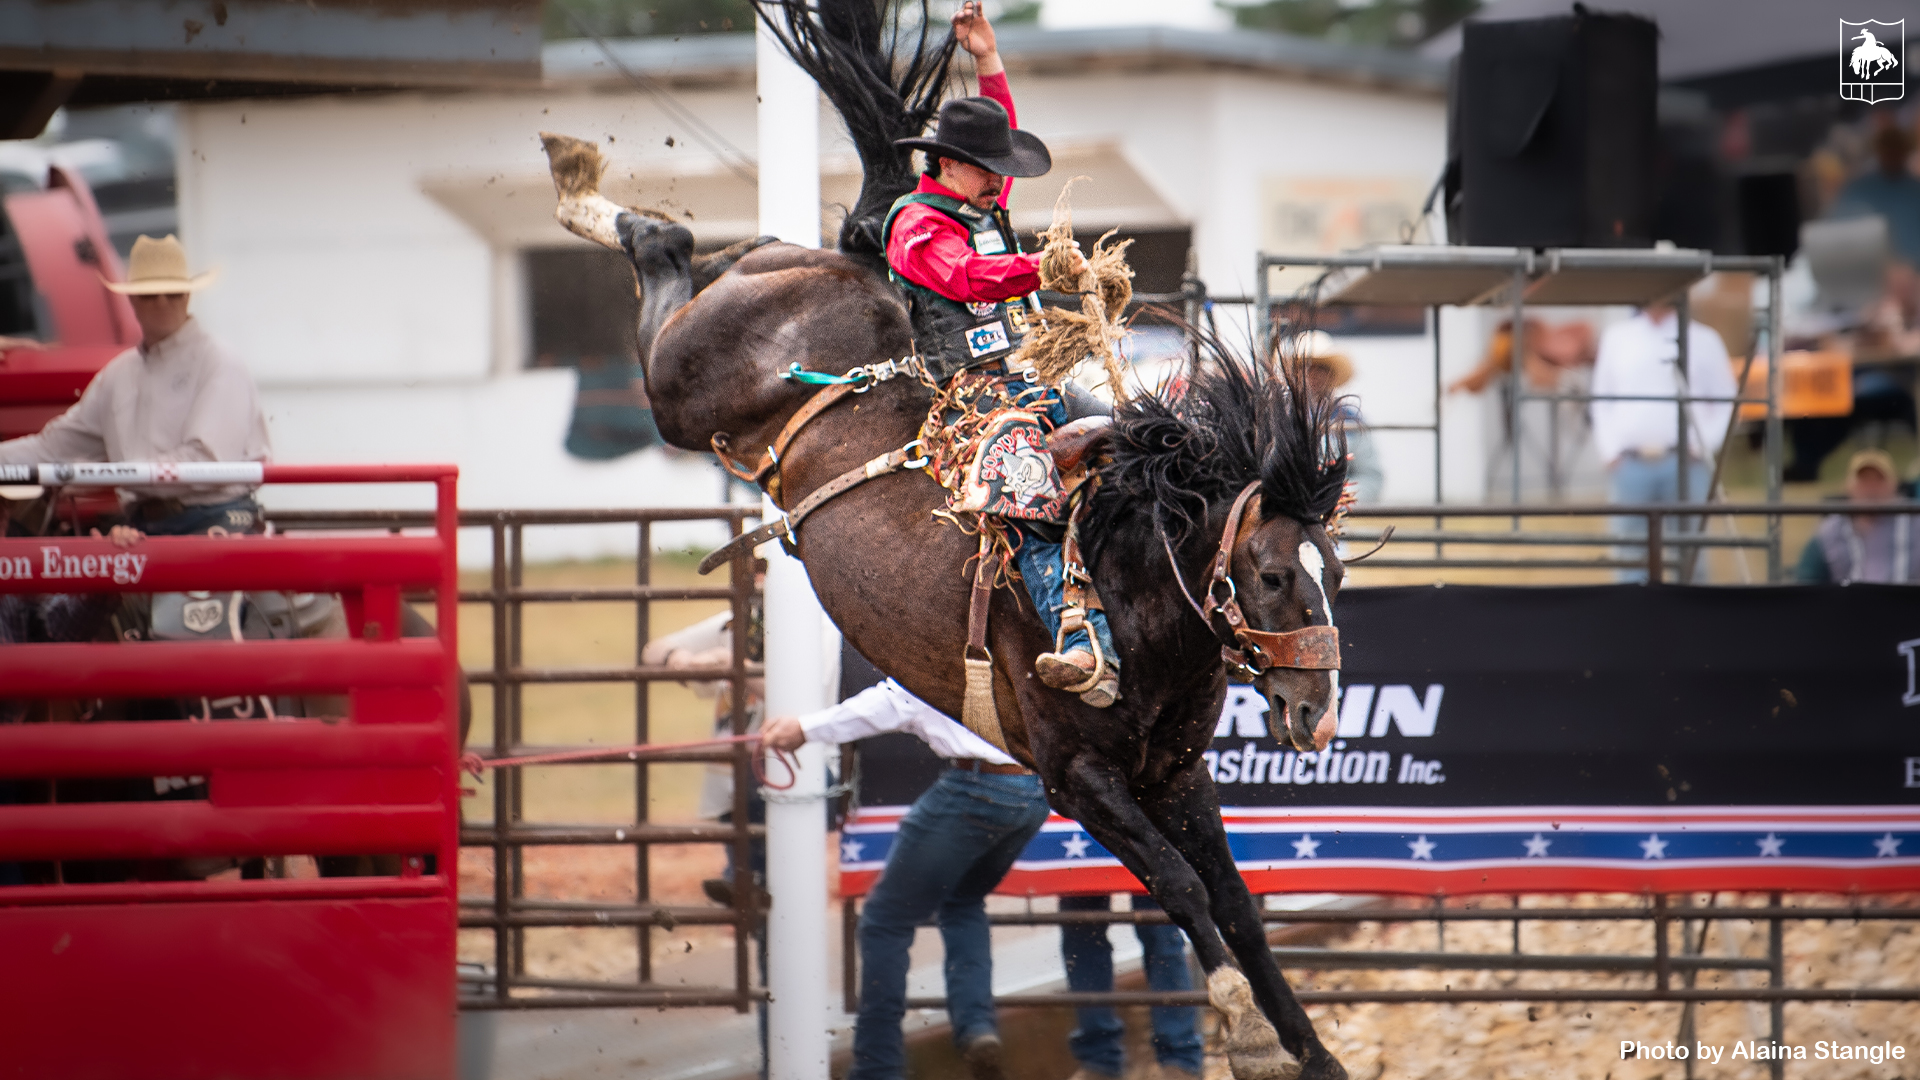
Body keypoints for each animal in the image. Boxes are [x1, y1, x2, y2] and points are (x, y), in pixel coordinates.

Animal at [541, 4, 1351, 1068]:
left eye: (1332, 570)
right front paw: (1249, 1031)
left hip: (734, 311)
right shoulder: (1076, 777)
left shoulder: (1177, 773)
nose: (1316, 709)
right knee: (663, 255)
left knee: (693, 245)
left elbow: (1237, 904)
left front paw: (1313, 1049)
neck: (1131, 593)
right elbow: (1179, 890)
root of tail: (843, 263)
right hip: (681, 385)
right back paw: (579, 182)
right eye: (1267, 575)